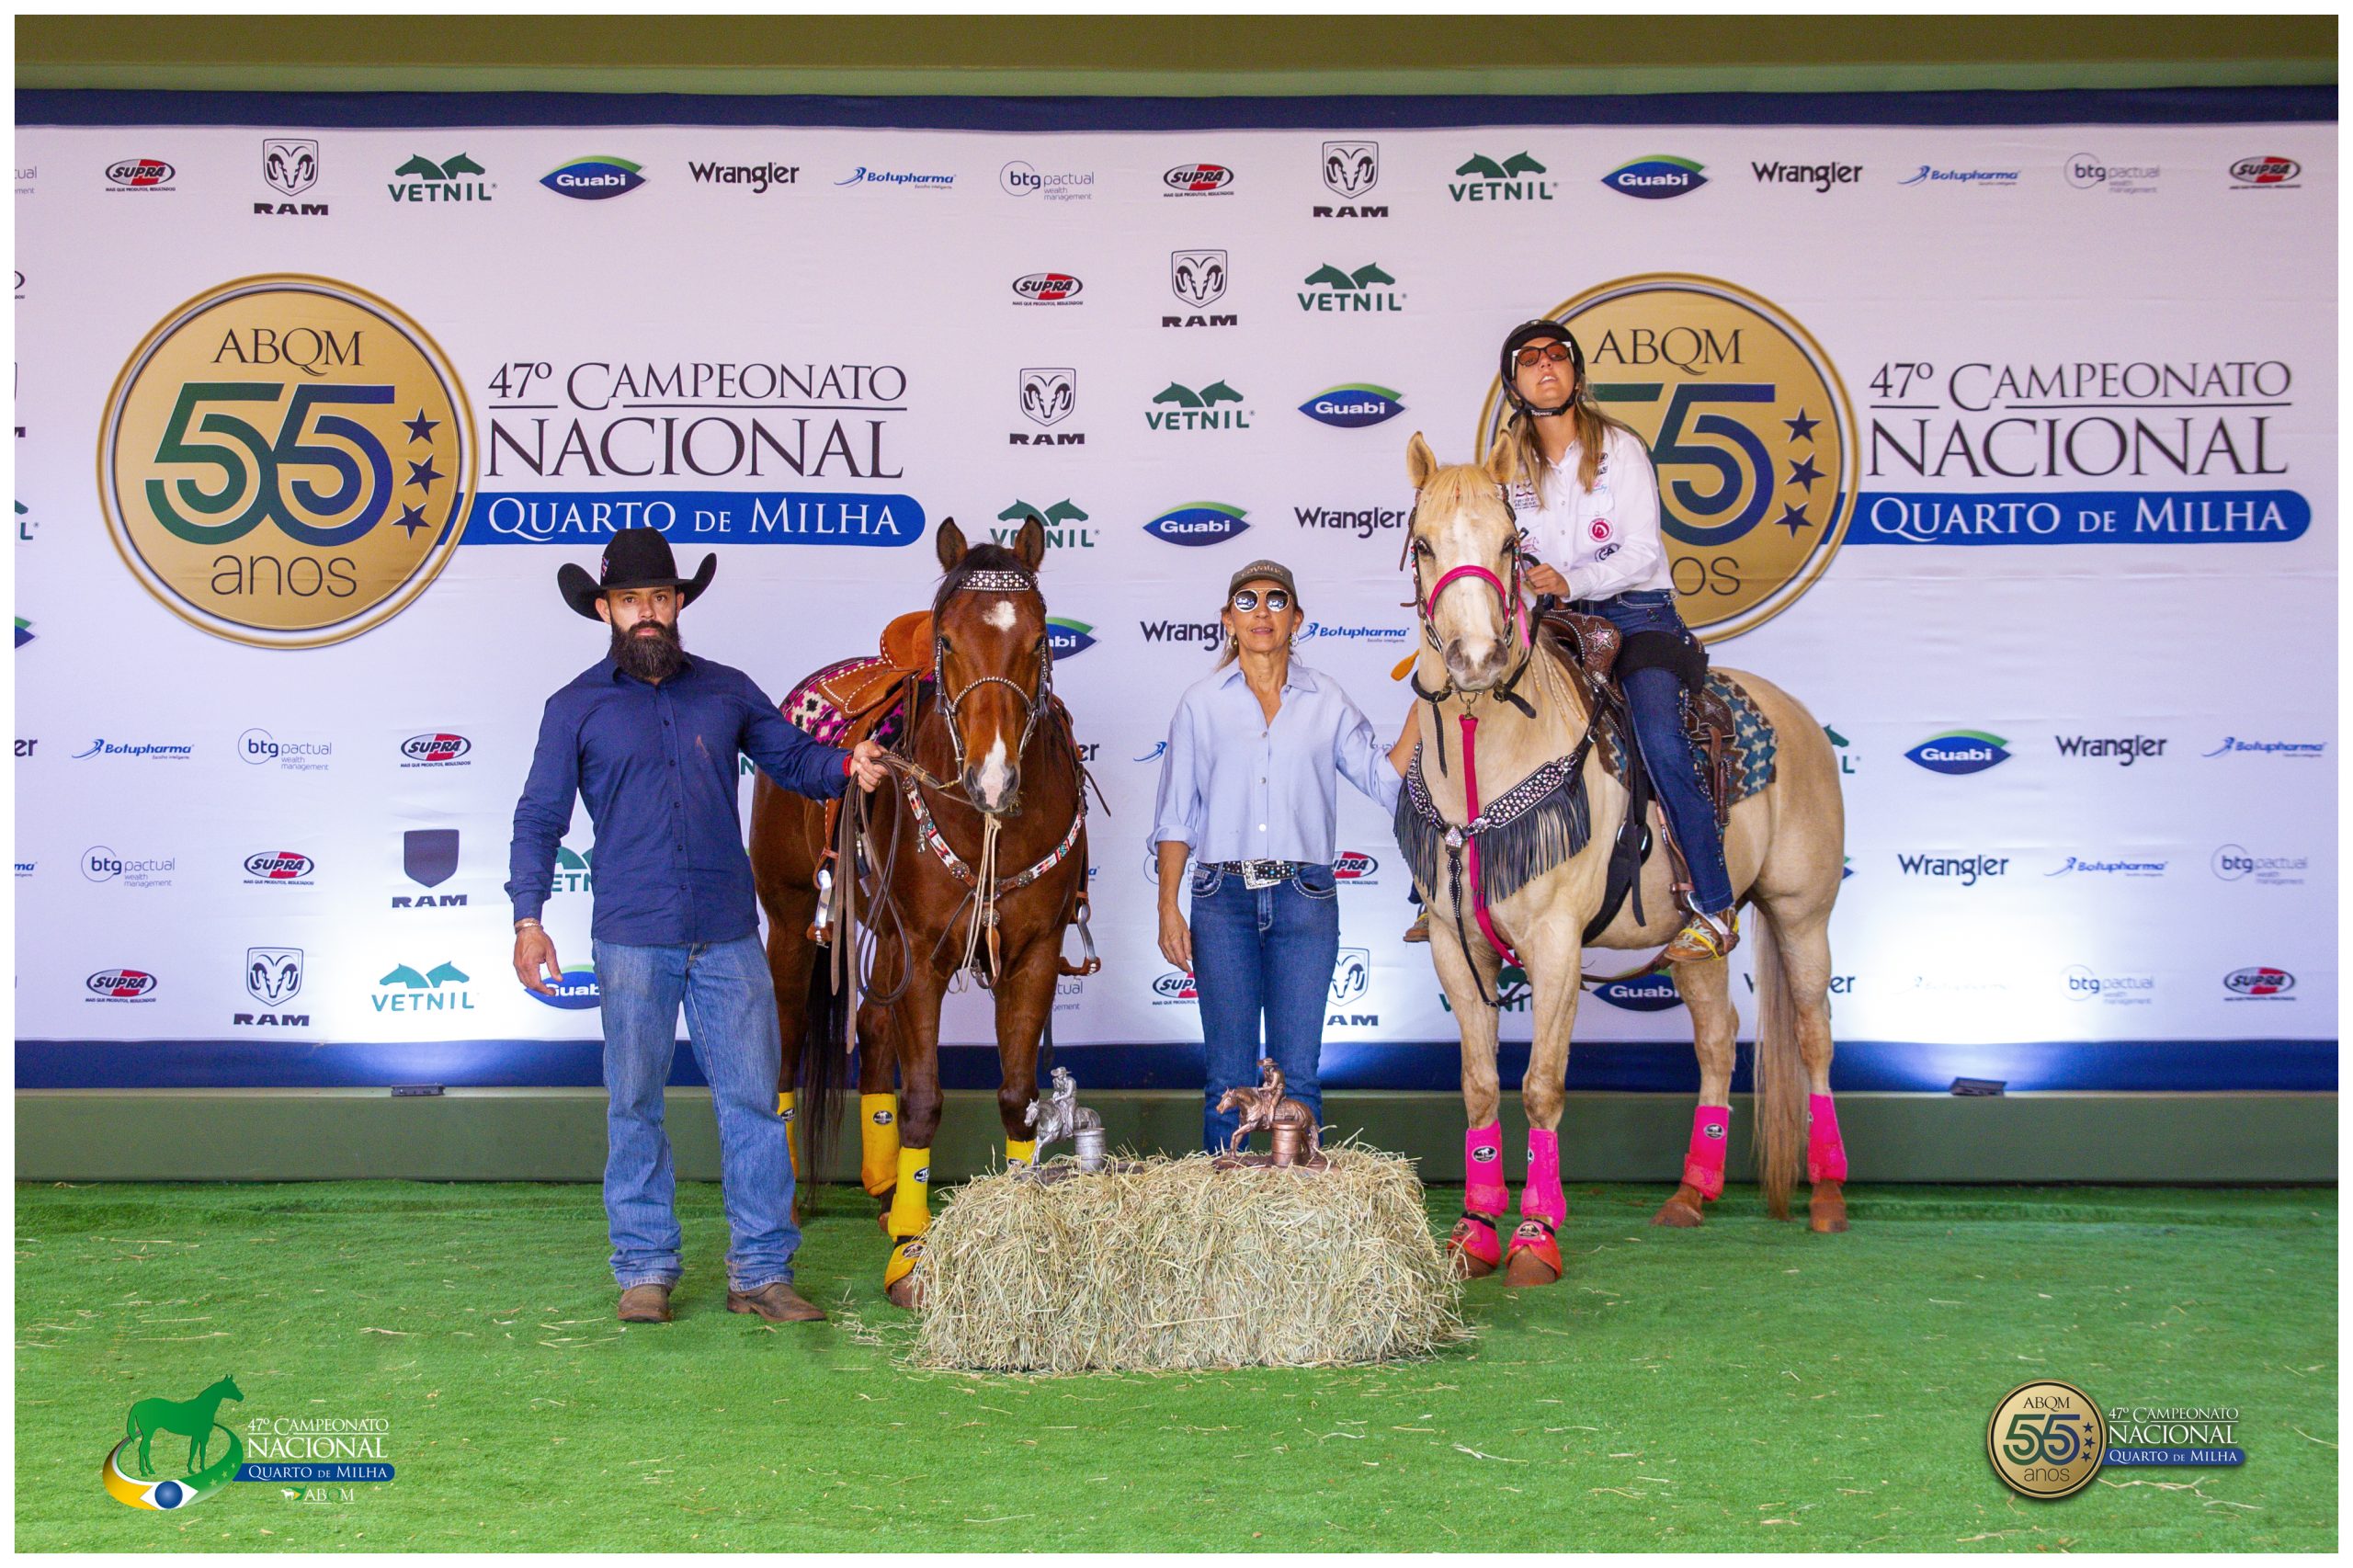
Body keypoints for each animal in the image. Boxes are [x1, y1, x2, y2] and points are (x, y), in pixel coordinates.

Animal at [743, 515, 1091, 1309]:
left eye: (1039, 641)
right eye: (949, 641)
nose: (993, 777)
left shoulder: (1035, 951)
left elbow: (1018, 1093)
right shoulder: (923, 956)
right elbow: (925, 1099)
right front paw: (910, 1252)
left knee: (872, 1032)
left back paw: (878, 1185)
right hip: (792, 923)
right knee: (787, 1041)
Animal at [1392, 430, 1854, 1280]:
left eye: (1510, 545)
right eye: (1426, 545)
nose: (1474, 659)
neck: (1482, 746)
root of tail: (1797, 714)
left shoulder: (1555, 943)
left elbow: (1541, 1084)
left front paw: (1536, 1235)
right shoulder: (1454, 941)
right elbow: (1479, 1085)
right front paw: (1474, 1228)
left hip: (1802, 913)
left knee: (1814, 1032)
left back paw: (1829, 1196)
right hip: (1694, 937)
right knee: (1716, 1037)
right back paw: (1692, 1193)